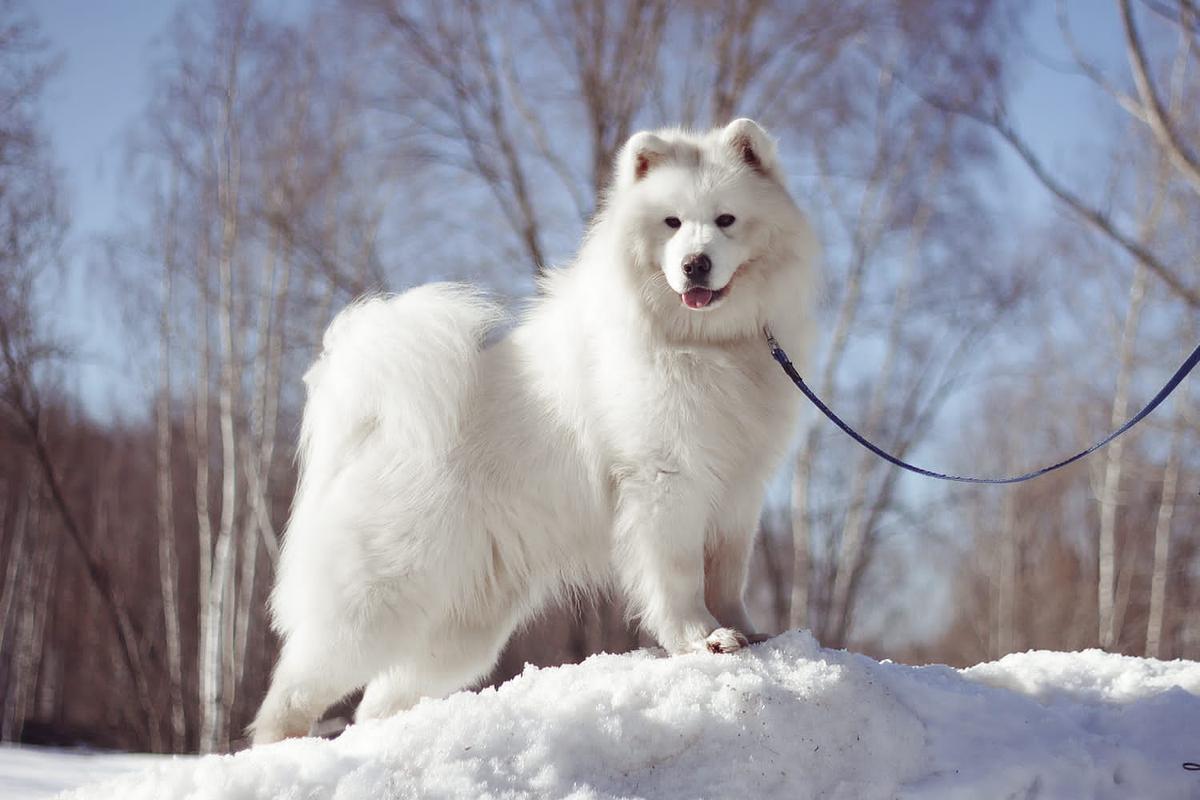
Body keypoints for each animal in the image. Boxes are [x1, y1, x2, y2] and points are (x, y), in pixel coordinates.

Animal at [253, 117, 816, 743]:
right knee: (292, 692)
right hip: (378, 603)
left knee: (379, 701)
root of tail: (372, 426)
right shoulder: (667, 482)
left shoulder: (738, 492)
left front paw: (747, 631)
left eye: (726, 220)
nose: (695, 263)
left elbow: (727, 575)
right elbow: (680, 577)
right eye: (671, 223)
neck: (706, 344)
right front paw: (702, 639)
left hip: (463, 630)